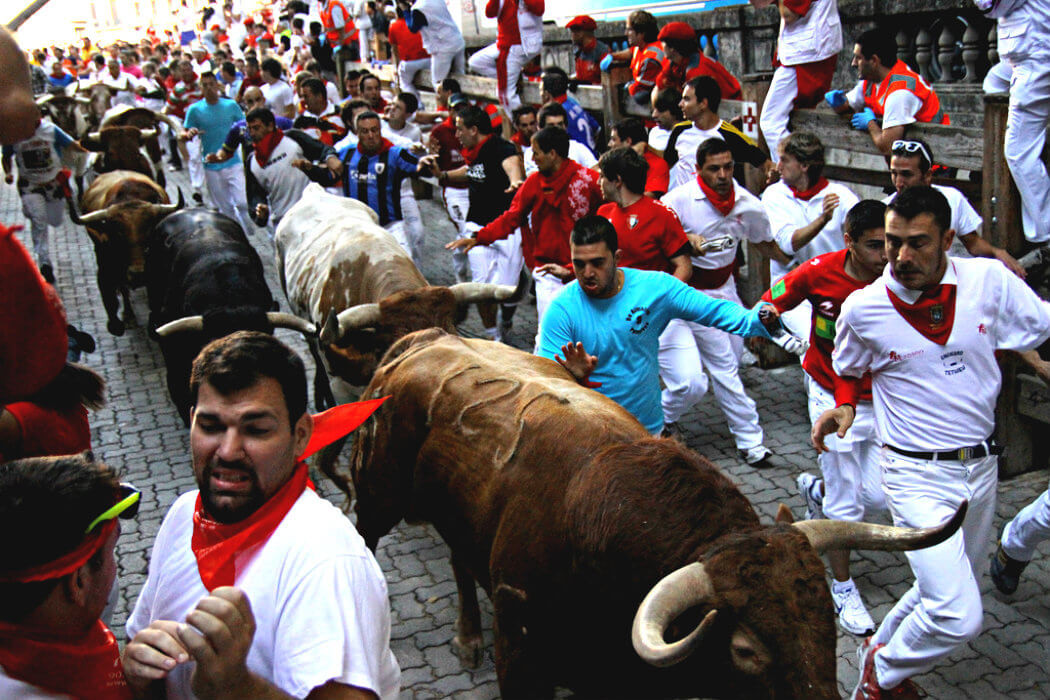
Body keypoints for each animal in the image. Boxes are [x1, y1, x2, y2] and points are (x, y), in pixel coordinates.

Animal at [68, 168, 183, 333]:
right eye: (118, 234)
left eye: (150, 230)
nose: (138, 274)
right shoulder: (106, 263)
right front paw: (120, 319)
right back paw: (128, 315)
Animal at [348, 329, 961, 700]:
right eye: (745, 650)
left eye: (824, 622)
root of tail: (426, 339)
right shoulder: (520, 648)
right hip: (377, 490)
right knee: (367, 539)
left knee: (457, 556)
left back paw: (467, 635)